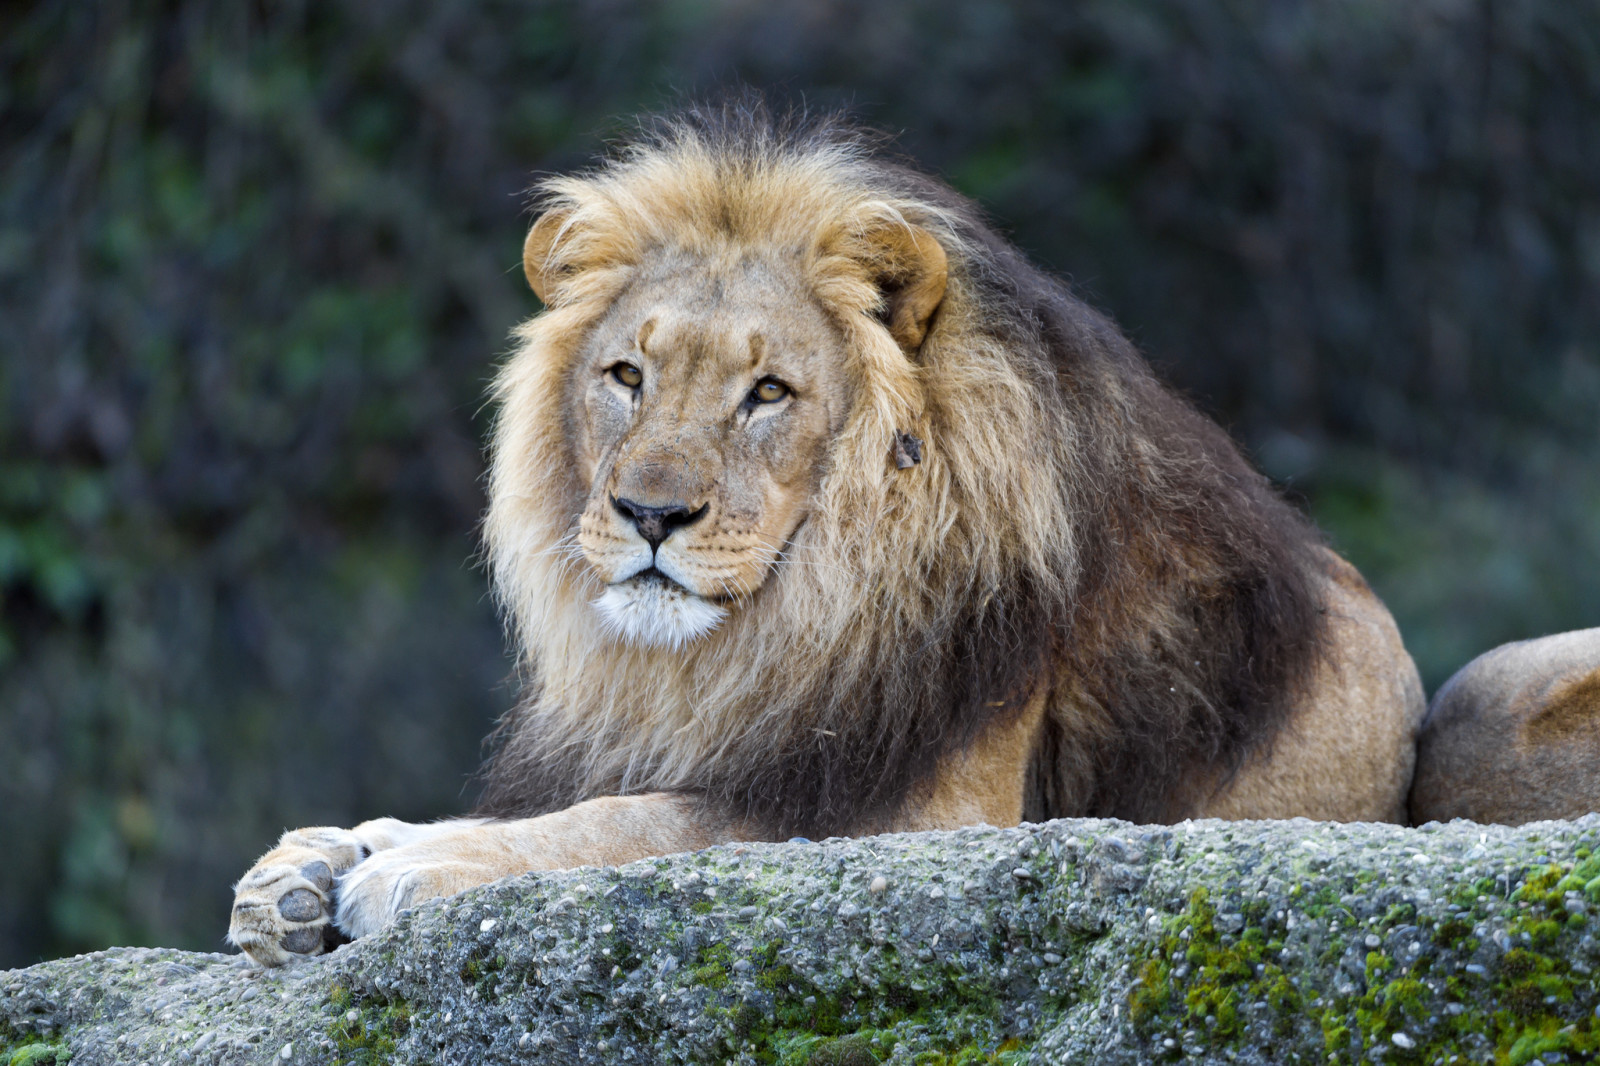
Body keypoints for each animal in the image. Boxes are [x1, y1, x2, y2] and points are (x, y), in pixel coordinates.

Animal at [228, 105, 1427, 960]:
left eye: (768, 392)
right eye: (626, 376)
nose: (649, 513)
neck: (782, 625)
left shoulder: (931, 813)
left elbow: (641, 823)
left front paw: (412, 866)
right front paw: (321, 862)